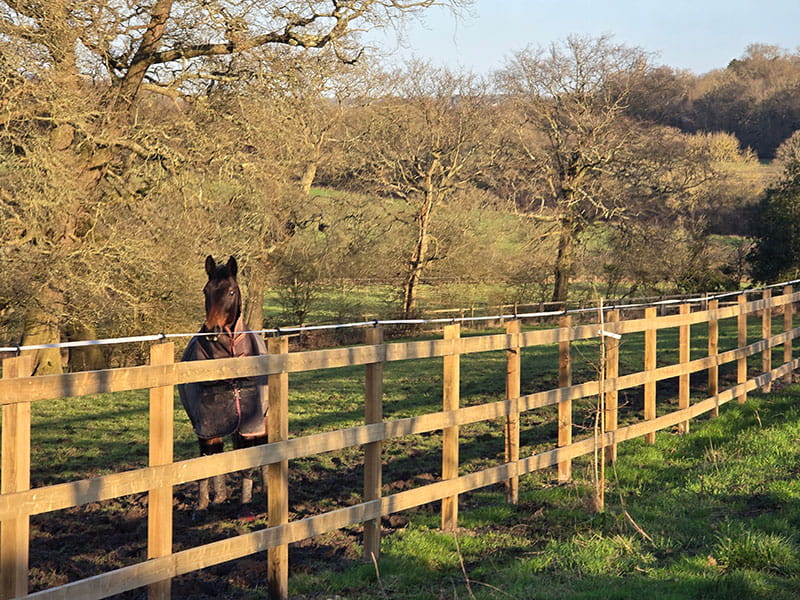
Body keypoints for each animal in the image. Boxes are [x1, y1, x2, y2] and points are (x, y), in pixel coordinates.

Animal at [178, 255, 268, 520]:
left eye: (230, 291)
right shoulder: (205, 425)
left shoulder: (251, 424)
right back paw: (219, 496)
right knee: (216, 452)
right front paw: (202, 505)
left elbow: (247, 461)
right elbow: (207, 459)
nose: (212, 331)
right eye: (205, 291)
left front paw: (246, 505)